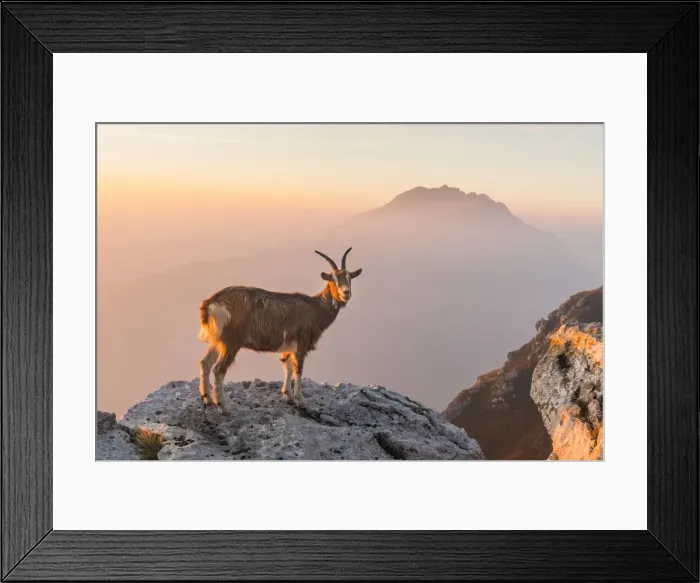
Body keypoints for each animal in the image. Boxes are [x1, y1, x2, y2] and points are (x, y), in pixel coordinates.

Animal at [197, 247, 363, 413]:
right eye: (332, 279)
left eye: (349, 277)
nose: (346, 293)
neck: (315, 308)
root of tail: (210, 303)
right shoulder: (301, 342)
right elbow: (298, 369)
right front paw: (301, 401)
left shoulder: (289, 344)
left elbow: (287, 365)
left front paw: (288, 396)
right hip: (231, 341)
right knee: (219, 369)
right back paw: (222, 406)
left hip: (218, 339)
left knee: (205, 362)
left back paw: (207, 399)